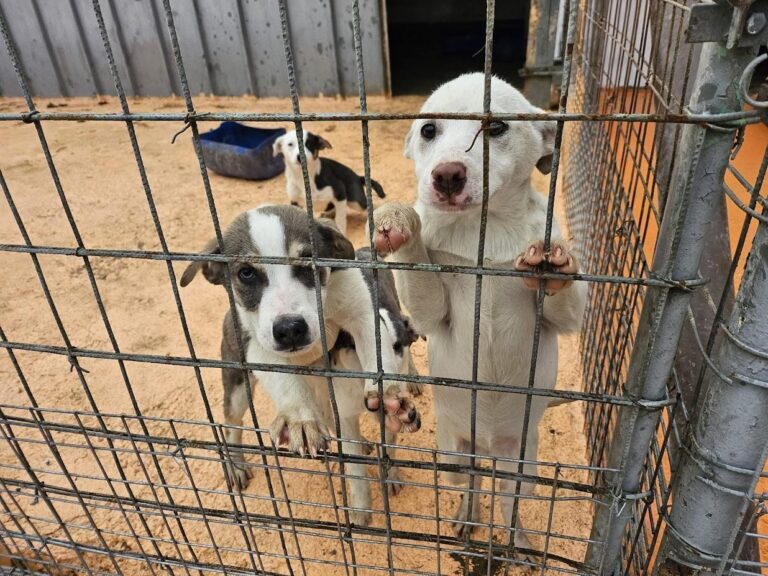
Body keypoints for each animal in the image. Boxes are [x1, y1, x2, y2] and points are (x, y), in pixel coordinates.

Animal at [180, 205, 420, 524]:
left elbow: (377, 357)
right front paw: (300, 418)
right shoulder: (259, 344)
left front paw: (388, 398)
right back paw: (236, 463)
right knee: (232, 423)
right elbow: (287, 387)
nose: (290, 329)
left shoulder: (361, 310)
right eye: (246, 273)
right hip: (237, 381)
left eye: (308, 260)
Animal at [372, 72, 588, 552]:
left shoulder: (561, 321)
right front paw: (399, 221)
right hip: (456, 454)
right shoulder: (434, 312)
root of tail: (487, 448)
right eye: (428, 130)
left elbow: (563, 298)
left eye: (496, 128)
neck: (482, 229)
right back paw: (466, 518)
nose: (447, 176)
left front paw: (555, 262)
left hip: (523, 464)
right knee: (471, 484)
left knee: (507, 498)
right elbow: (418, 264)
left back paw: (518, 541)